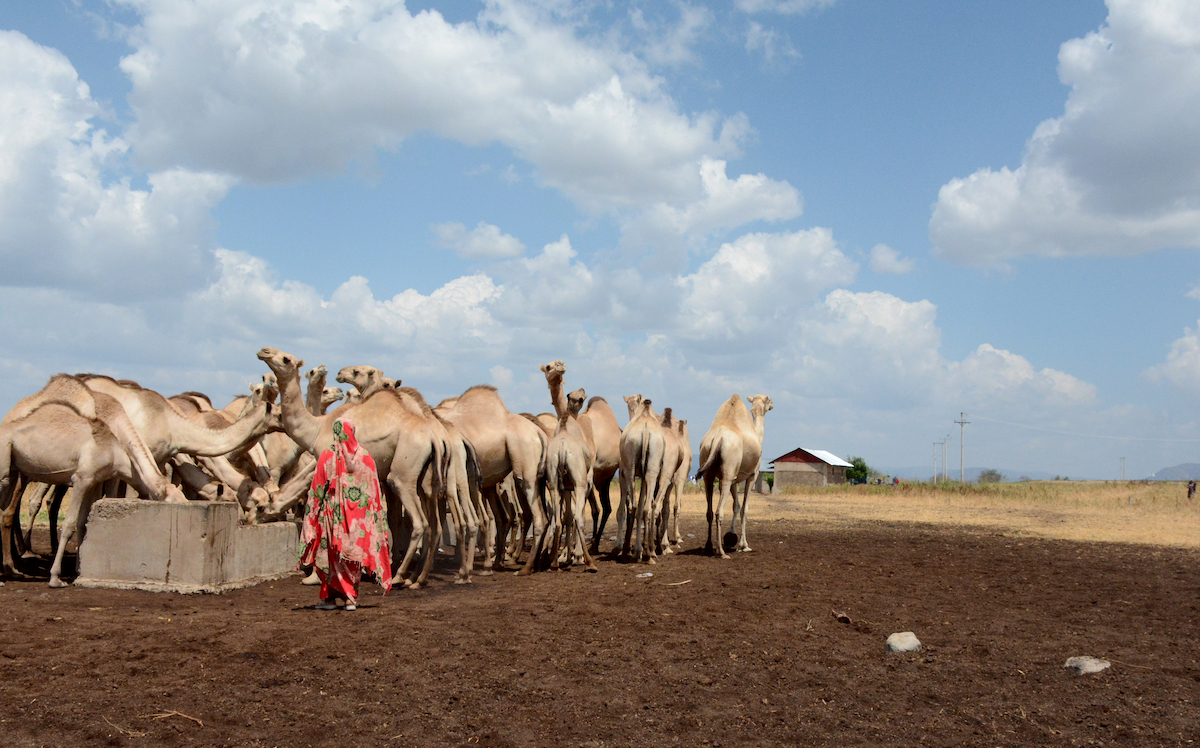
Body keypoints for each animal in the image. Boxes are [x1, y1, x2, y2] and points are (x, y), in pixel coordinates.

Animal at [258, 348, 451, 588]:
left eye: (286, 359)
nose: (264, 351)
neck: (316, 429)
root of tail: (434, 436)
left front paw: (316, 576)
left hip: (402, 475)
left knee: (419, 522)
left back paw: (398, 576)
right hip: (426, 479)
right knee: (434, 525)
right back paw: (416, 578)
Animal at [700, 396, 772, 559]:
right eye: (769, 400)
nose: (772, 405)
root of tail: (717, 438)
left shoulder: (734, 479)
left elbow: (736, 506)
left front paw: (731, 535)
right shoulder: (752, 475)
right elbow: (745, 509)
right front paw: (743, 545)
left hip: (708, 470)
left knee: (709, 511)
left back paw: (709, 546)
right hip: (727, 473)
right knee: (719, 512)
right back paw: (721, 552)